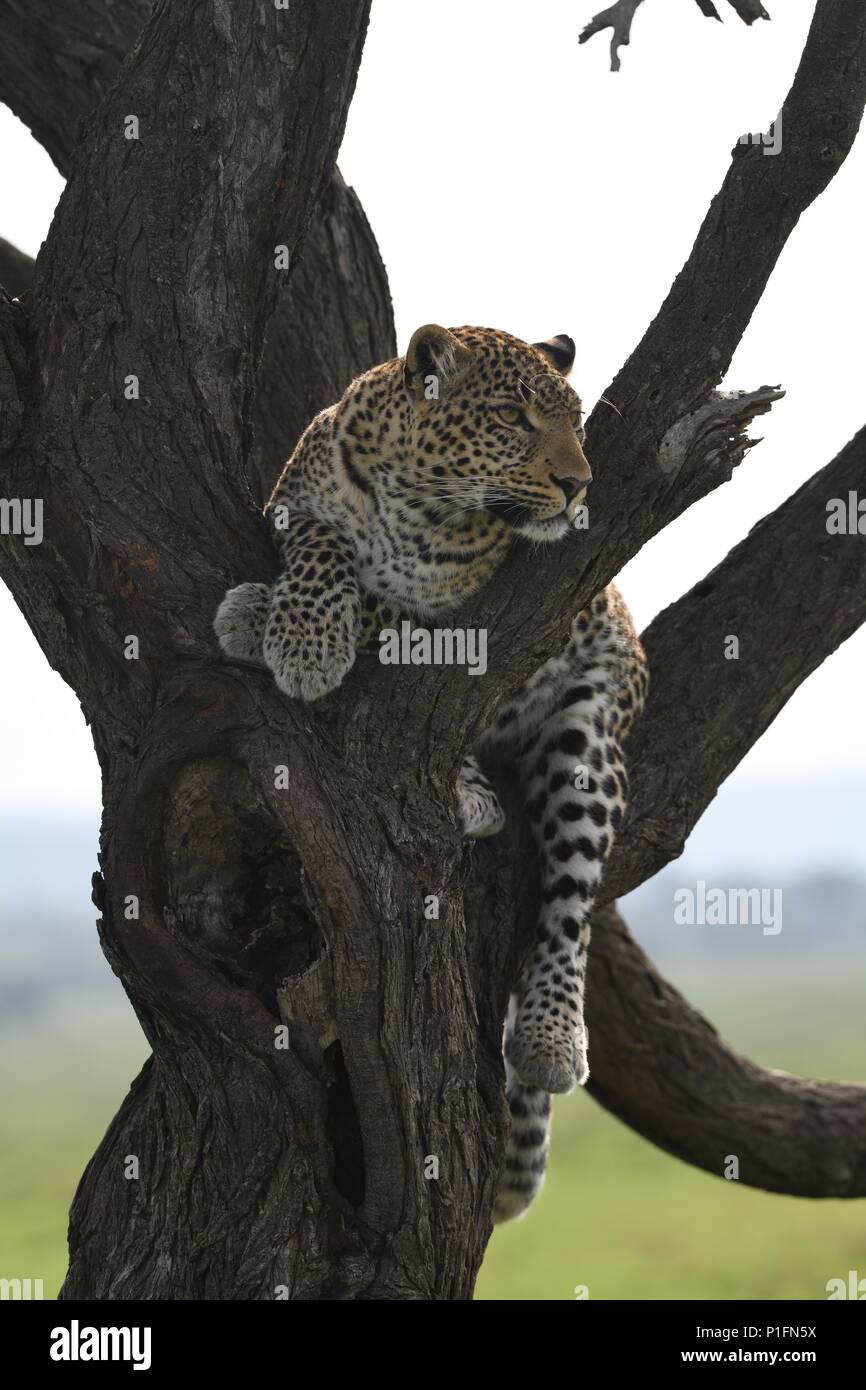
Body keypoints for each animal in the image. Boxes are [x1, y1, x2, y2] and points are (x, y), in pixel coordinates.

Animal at [215, 325, 650, 1228]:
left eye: (575, 422)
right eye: (514, 418)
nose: (579, 484)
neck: (406, 496)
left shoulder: (466, 602)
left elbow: (387, 606)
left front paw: (271, 625)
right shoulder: (292, 506)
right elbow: (327, 551)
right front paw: (295, 624)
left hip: (591, 732)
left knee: (569, 904)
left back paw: (549, 1036)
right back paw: (471, 792)